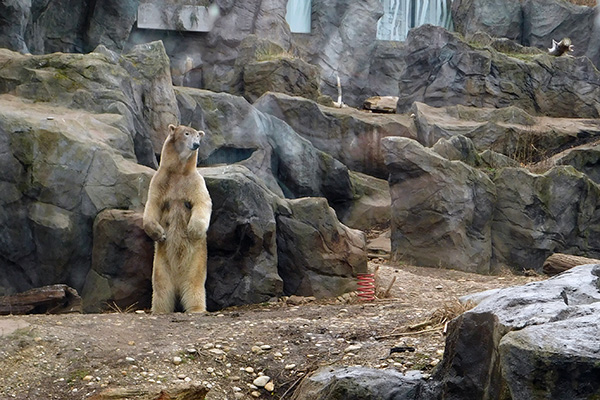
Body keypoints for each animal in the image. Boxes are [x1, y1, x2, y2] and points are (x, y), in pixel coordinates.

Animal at [142, 123, 212, 314]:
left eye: (198, 136)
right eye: (186, 133)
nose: (196, 144)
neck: (179, 171)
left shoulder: (195, 182)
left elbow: (202, 203)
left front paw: (193, 230)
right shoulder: (159, 181)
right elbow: (152, 205)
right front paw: (159, 234)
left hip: (196, 262)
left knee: (194, 286)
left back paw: (196, 309)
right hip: (160, 262)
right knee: (161, 287)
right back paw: (160, 310)